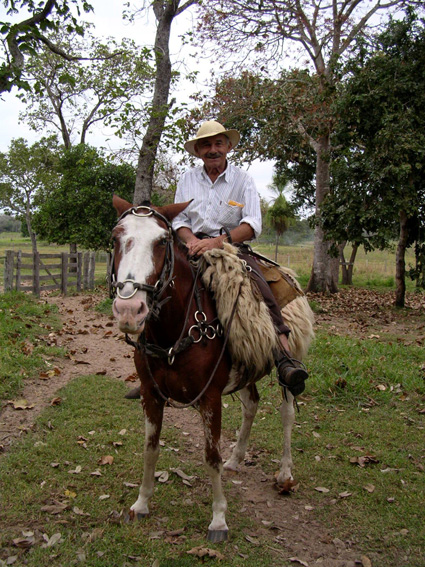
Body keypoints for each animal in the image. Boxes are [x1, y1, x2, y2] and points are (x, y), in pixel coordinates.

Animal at [111, 196, 314, 544]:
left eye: (162, 241)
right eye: (115, 237)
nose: (129, 310)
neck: (173, 332)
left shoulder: (210, 399)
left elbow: (210, 457)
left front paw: (218, 519)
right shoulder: (151, 395)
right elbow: (150, 449)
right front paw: (141, 503)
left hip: (287, 364)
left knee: (287, 414)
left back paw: (285, 473)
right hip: (246, 366)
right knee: (251, 404)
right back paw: (237, 458)